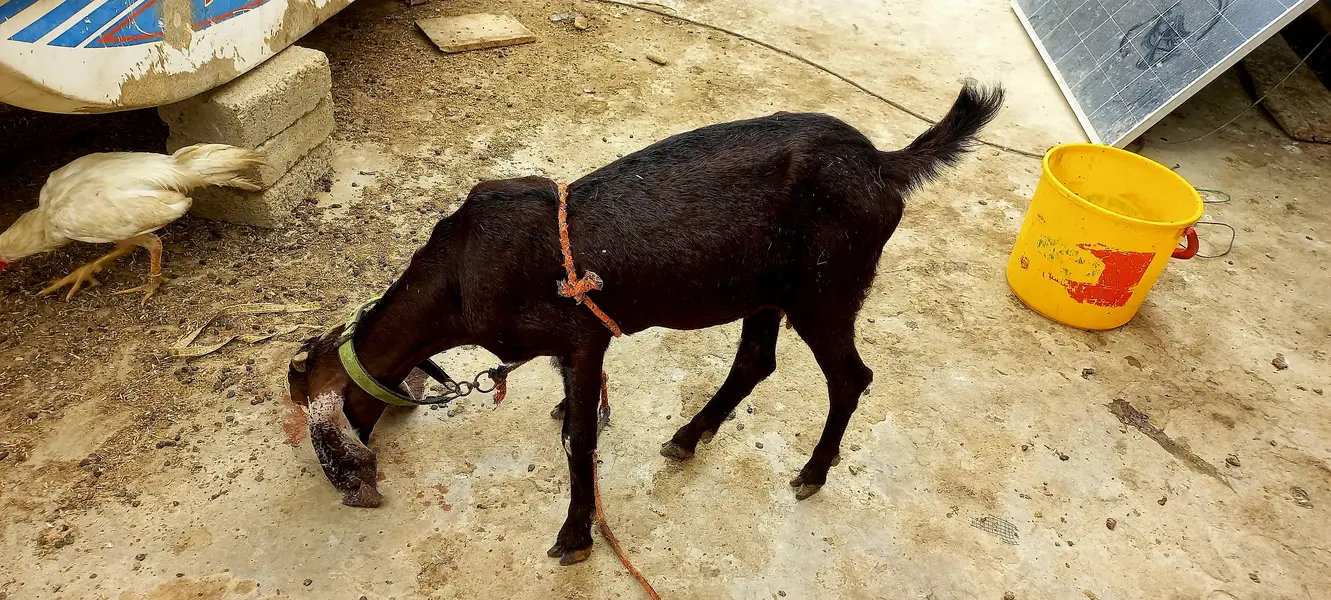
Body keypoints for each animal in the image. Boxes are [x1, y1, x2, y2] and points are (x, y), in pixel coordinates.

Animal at [287, 83, 1004, 565]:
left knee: (851, 377)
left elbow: (579, 441)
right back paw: (690, 436)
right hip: (766, 291)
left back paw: (812, 472)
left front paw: (575, 536)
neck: (460, 276)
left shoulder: (581, 337)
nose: (343, 494)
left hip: (826, 291)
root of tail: (884, 164)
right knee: (757, 361)